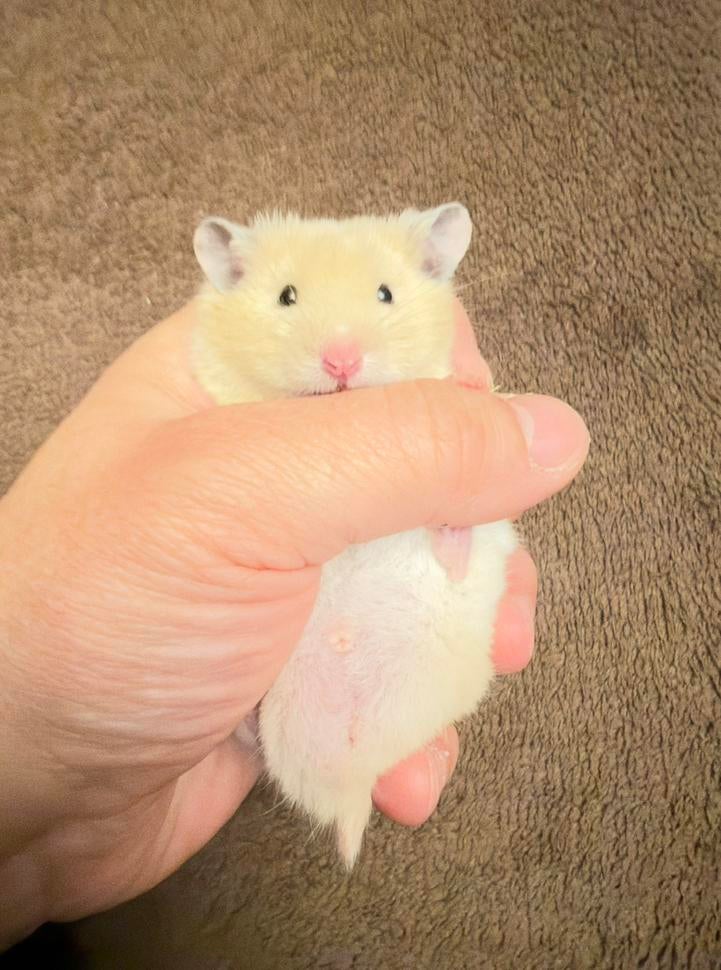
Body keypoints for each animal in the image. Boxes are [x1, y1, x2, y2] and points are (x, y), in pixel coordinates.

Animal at [192, 204, 517, 867]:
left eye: (385, 293)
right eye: (286, 296)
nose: (341, 362)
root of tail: (348, 781)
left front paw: (473, 385)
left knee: (461, 550)